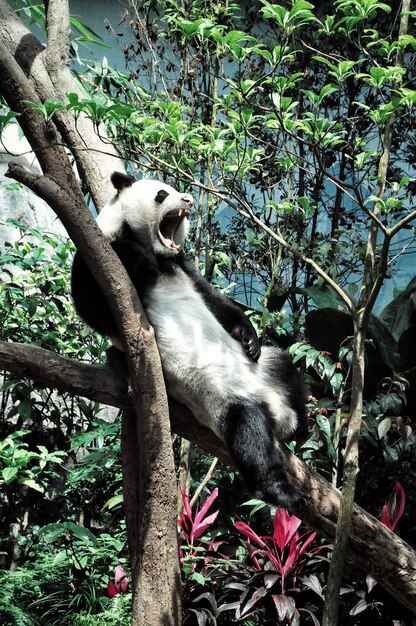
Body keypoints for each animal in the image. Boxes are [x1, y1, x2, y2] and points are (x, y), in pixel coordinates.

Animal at [70, 171, 306, 508]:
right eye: (161, 193)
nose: (188, 199)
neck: (157, 252)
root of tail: (276, 411)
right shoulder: (97, 254)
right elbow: (91, 303)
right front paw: (139, 262)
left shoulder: (183, 265)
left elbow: (213, 299)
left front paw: (248, 337)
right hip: (221, 400)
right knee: (248, 430)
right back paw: (280, 490)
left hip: (264, 370)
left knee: (287, 368)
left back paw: (302, 430)